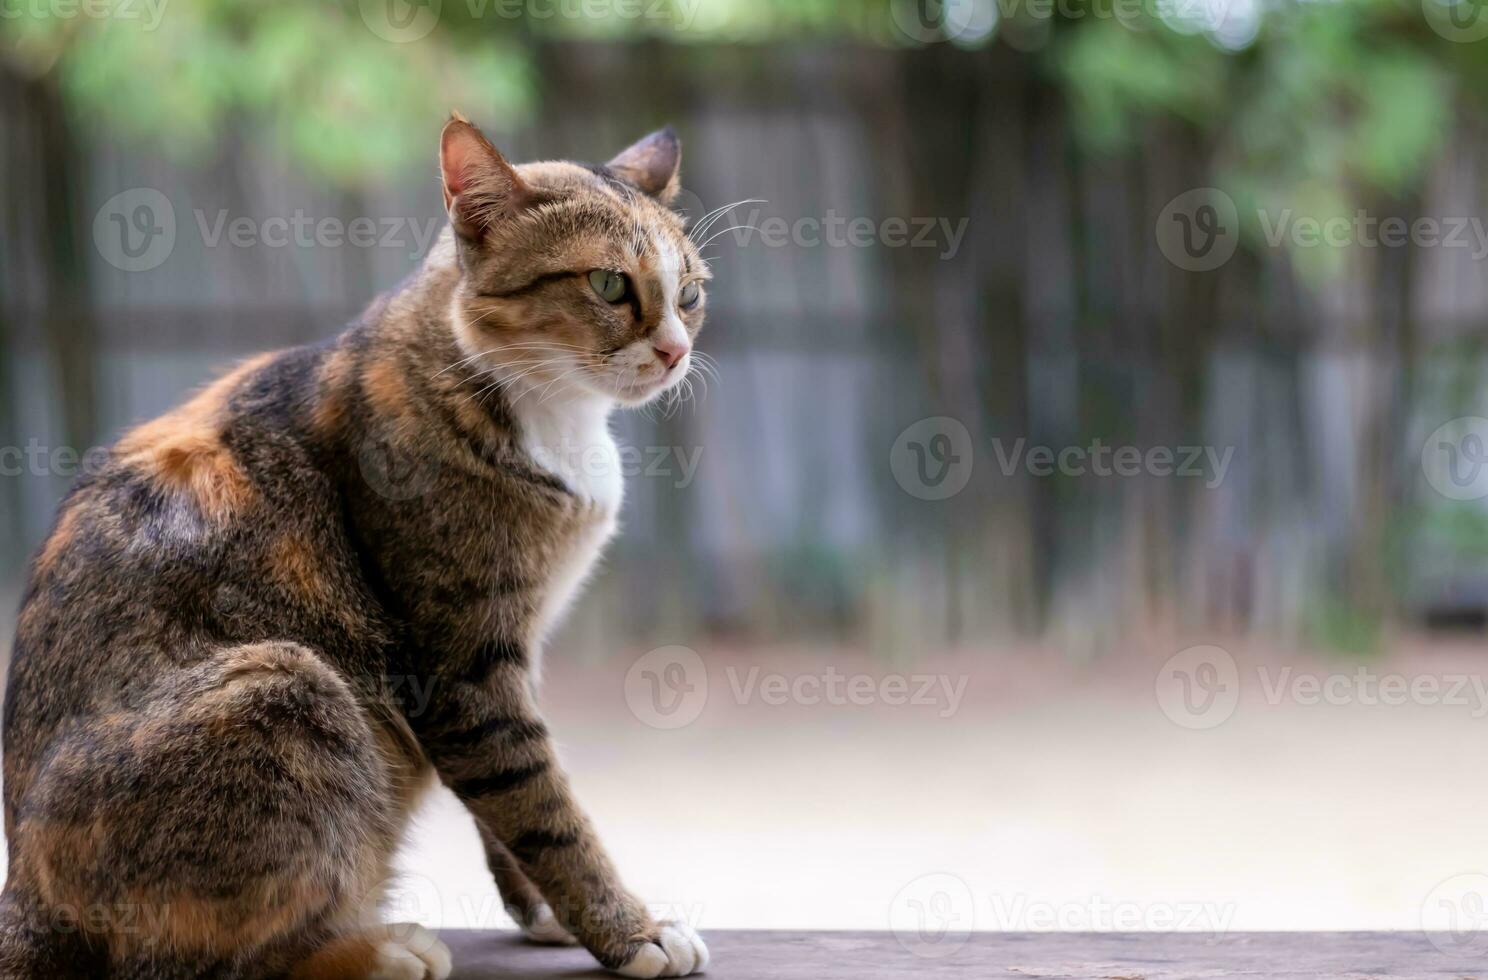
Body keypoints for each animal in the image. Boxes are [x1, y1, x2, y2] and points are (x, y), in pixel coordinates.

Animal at [0, 116, 714, 980]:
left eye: (690, 294)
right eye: (609, 285)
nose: (675, 351)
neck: (549, 412)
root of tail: (26, 902)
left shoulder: (513, 654)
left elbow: (512, 808)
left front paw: (544, 911)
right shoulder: (464, 669)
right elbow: (541, 804)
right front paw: (629, 930)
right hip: (287, 686)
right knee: (198, 959)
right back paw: (377, 949)